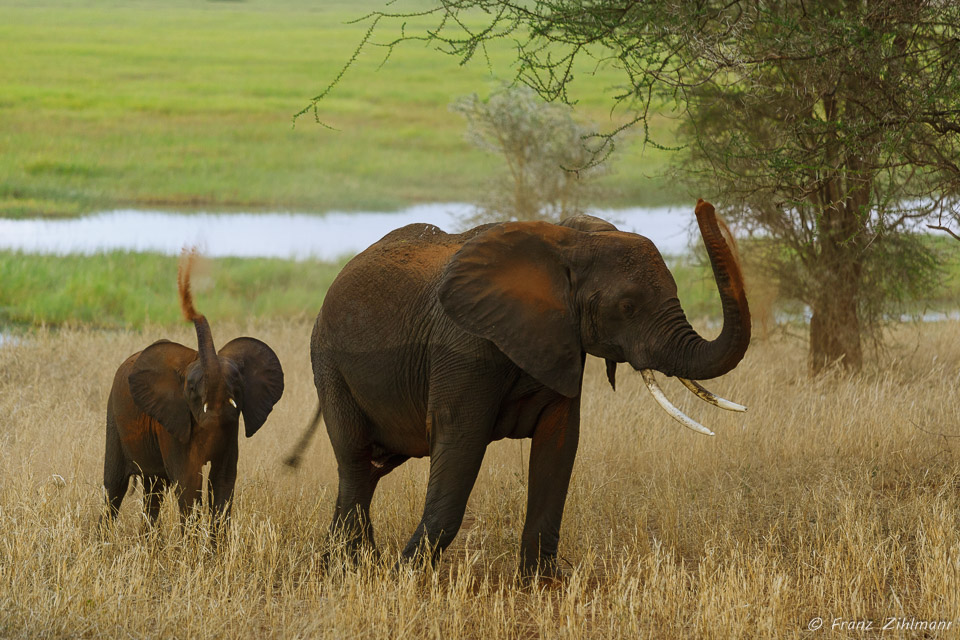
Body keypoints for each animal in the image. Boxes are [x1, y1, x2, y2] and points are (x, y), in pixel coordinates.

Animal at [106, 252, 284, 528]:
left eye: (238, 383)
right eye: (190, 388)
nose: (191, 308)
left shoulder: (231, 429)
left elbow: (222, 479)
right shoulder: (172, 421)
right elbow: (190, 480)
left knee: (154, 489)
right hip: (113, 417)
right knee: (114, 486)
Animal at [290, 199, 752, 576]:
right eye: (627, 307)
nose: (704, 205)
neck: (569, 242)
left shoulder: (563, 343)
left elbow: (559, 445)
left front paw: (544, 583)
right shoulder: (463, 347)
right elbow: (460, 445)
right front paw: (404, 579)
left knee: (371, 469)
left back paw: (348, 565)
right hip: (328, 363)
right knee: (355, 461)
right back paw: (353, 570)